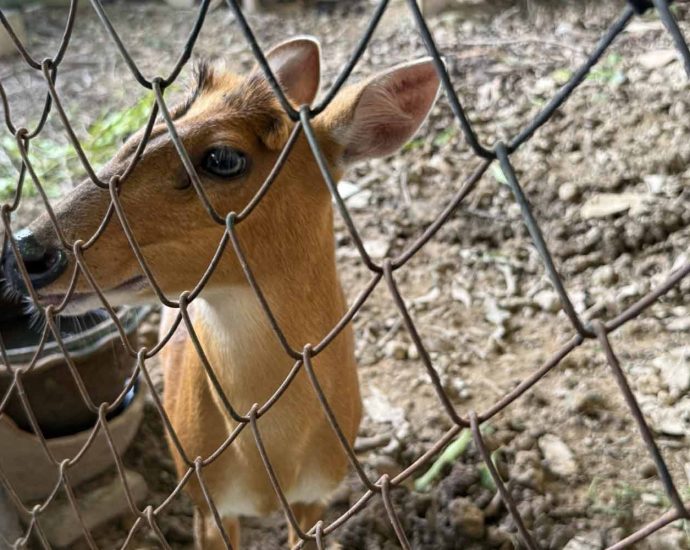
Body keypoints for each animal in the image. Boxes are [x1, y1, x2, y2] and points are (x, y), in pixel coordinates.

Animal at [0, 36, 438, 548]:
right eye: (132, 139)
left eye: (223, 158)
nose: (25, 253)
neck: (272, 462)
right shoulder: (205, 499)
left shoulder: (319, 495)